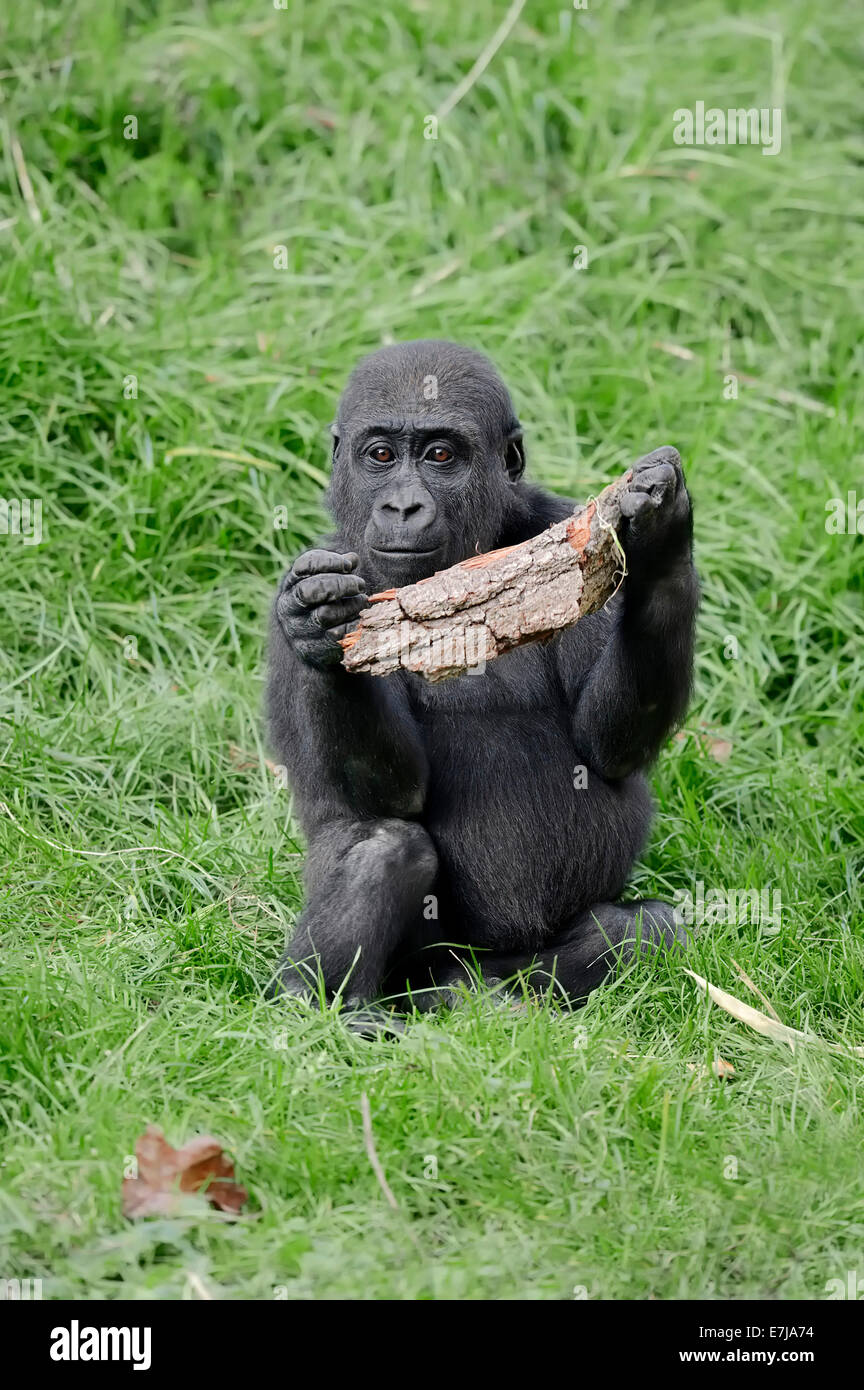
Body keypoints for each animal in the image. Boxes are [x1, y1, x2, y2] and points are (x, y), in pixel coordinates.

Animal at [268, 343, 700, 1028]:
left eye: (441, 456)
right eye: (380, 455)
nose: (402, 508)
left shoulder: (565, 529)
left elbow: (608, 745)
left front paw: (662, 538)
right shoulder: (296, 590)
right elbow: (390, 795)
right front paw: (320, 630)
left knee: (644, 931)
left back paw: (491, 996)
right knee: (382, 847)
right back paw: (326, 1008)